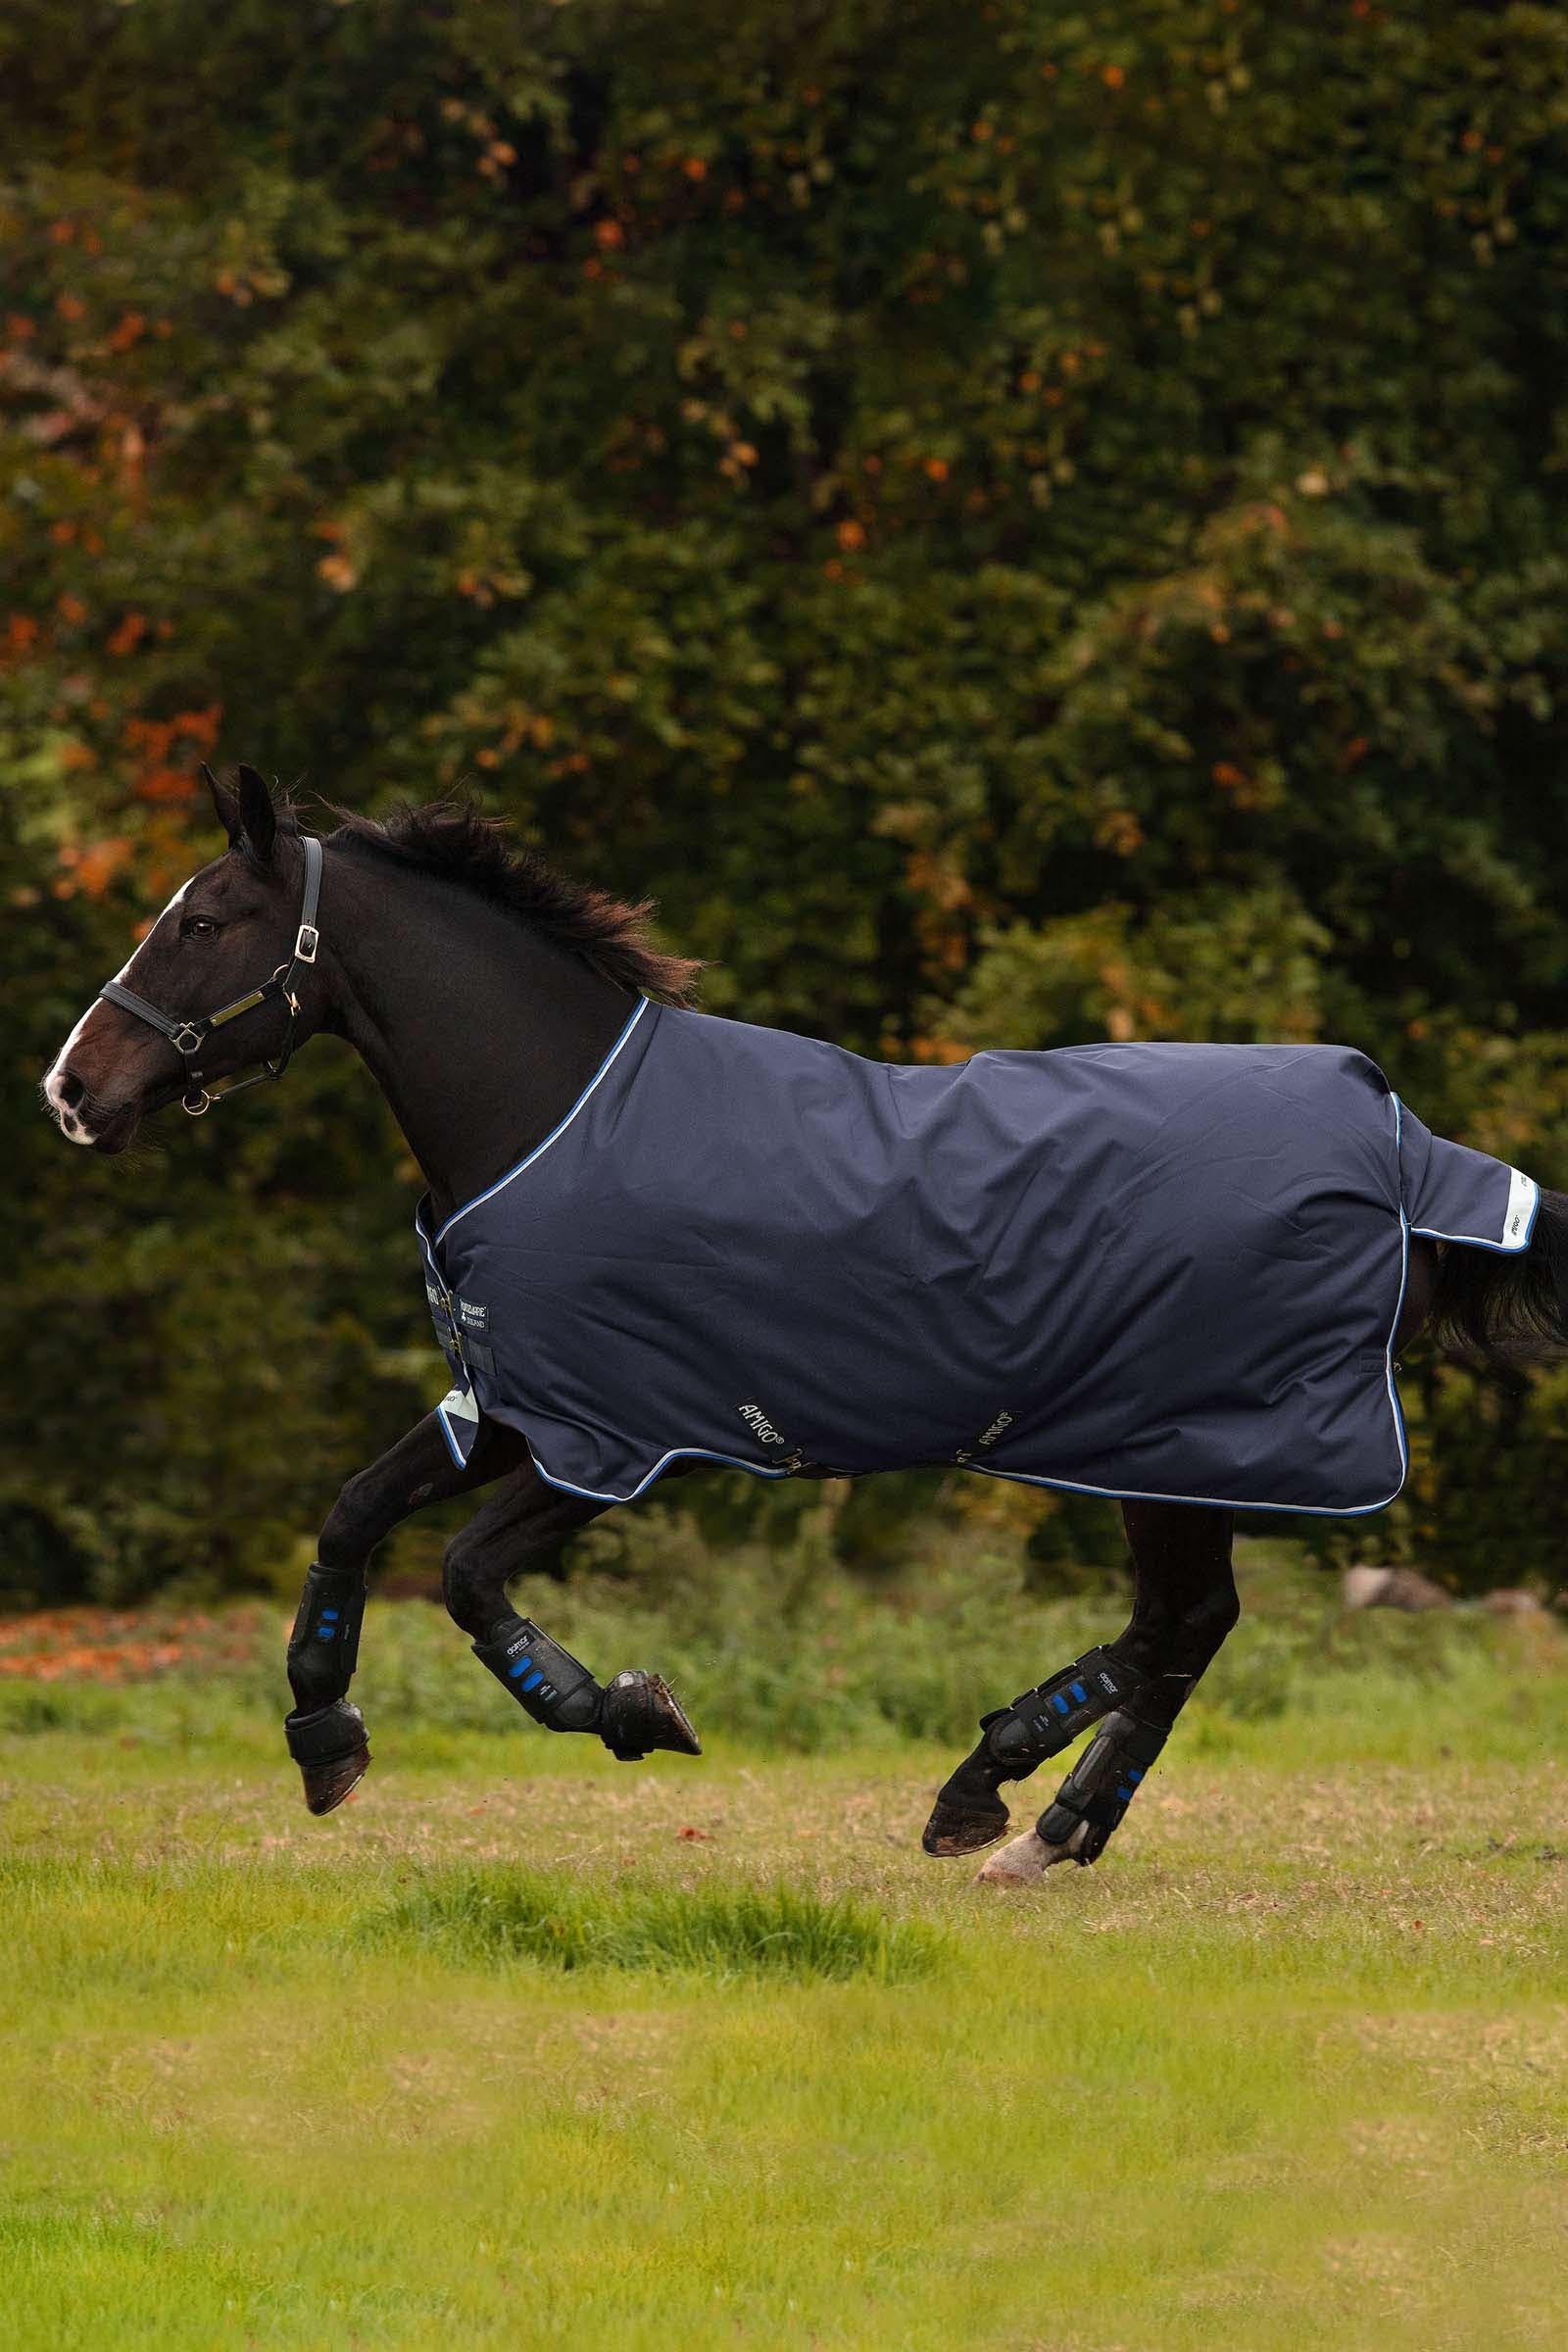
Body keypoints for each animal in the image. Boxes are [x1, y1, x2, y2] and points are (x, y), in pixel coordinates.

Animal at [42, 765, 1568, 1885]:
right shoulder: (512, 1406)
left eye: (197, 924)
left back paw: (986, 1790)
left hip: (1172, 1442)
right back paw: (1051, 1830)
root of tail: (1392, 1135)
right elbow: (355, 1516)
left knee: (1177, 1625)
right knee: (1189, 1629)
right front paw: (323, 1741)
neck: (548, 1116)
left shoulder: (615, 1441)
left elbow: (471, 1580)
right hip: (1174, 1454)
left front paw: (634, 1713)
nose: (71, 1091)